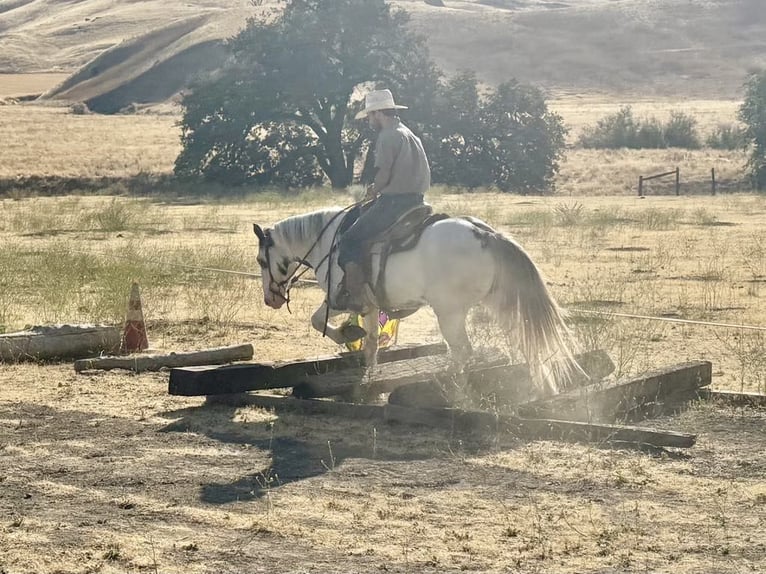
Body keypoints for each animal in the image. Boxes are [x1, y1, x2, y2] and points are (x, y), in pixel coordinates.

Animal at [253, 206, 581, 396]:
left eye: (260, 260)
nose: (271, 299)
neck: (328, 240)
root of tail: (487, 235)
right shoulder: (370, 306)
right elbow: (371, 343)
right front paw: (369, 378)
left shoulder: (338, 297)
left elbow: (317, 319)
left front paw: (347, 333)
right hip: (501, 305)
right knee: (524, 342)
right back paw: (541, 386)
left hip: (449, 313)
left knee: (463, 351)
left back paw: (450, 387)